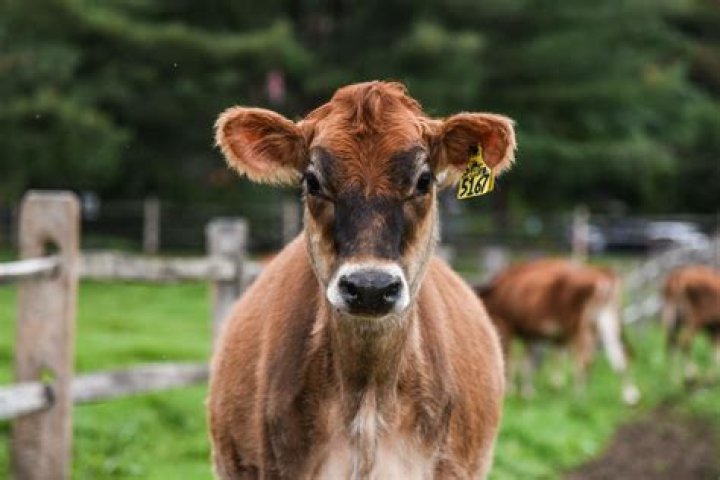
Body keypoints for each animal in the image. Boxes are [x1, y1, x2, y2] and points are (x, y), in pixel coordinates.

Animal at [476, 259, 640, 405]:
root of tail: (602, 272)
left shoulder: (506, 324)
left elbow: (510, 359)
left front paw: (511, 390)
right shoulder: (531, 333)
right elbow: (528, 362)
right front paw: (528, 392)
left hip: (579, 326)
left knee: (585, 359)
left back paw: (579, 398)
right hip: (609, 319)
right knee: (621, 354)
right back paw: (630, 396)